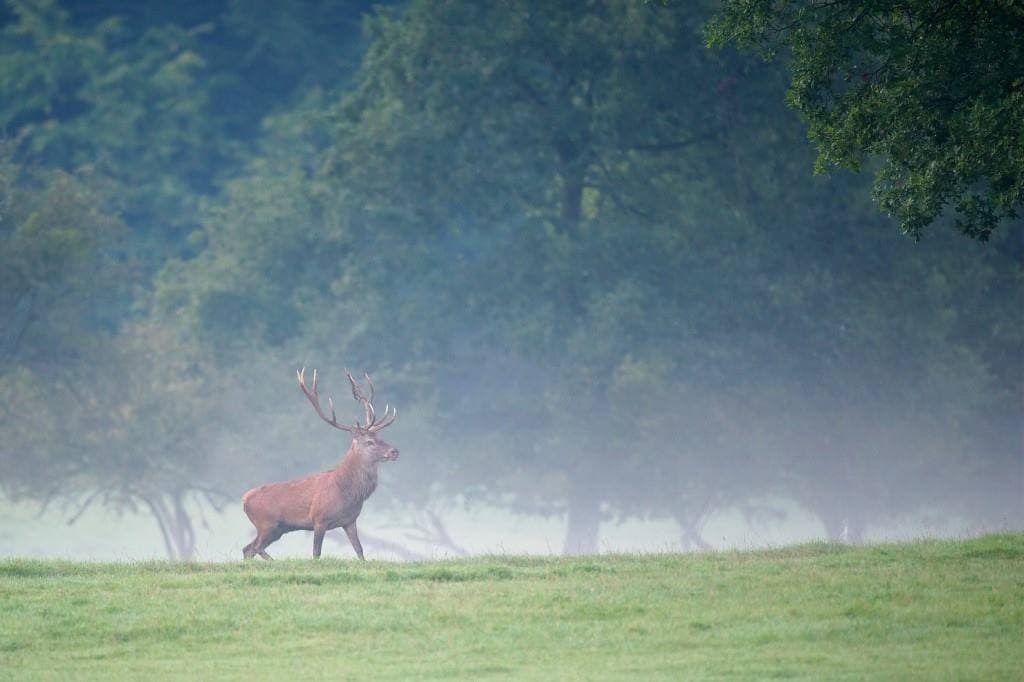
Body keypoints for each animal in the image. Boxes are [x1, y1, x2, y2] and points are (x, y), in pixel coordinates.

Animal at [241, 368, 398, 560]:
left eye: (380, 437)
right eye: (369, 442)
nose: (394, 451)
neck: (346, 491)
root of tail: (244, 499)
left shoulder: (350, 521)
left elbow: (359, 550)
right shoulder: (319, 519)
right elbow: (316, 552)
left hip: (278, 529)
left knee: (248, 548)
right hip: (266, 523)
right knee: (255, 547)